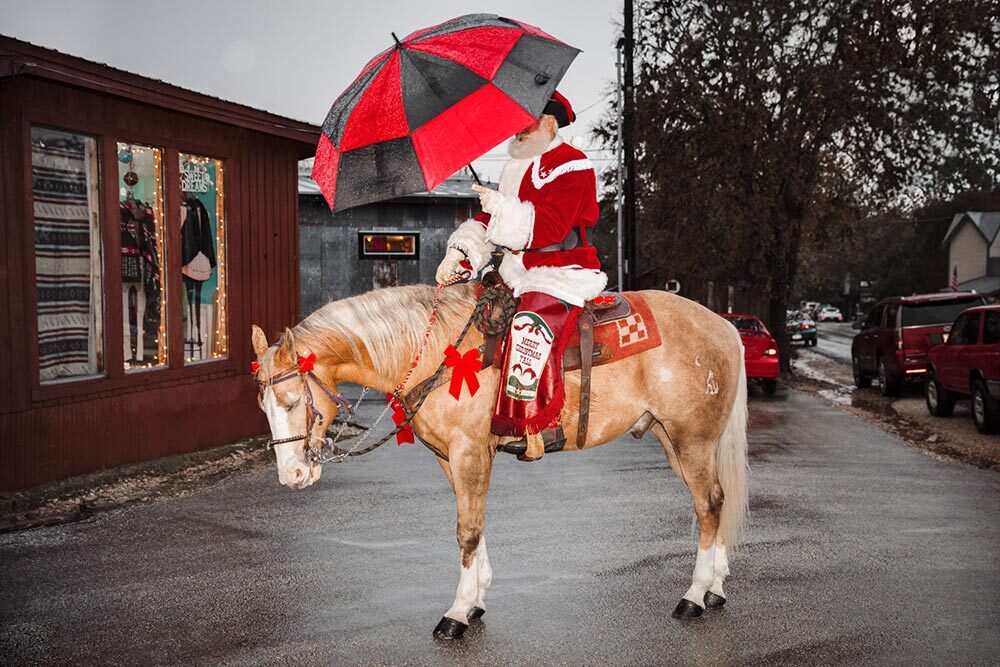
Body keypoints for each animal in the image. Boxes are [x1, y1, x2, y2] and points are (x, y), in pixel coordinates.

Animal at [252, 282, 752, 636]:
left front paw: (456, 613)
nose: (292, 474)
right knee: (716, 500)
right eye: (264, 406)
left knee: (708, 505)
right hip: (674, 439)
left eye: (293, 401)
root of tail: (724, 327)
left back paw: (694, 595)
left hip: (691, 440)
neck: (440, 353)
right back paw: (715, 588)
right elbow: (472, 523)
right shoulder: (451, 457)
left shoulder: (468, 450)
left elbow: (467, 531)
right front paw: (475, 601)